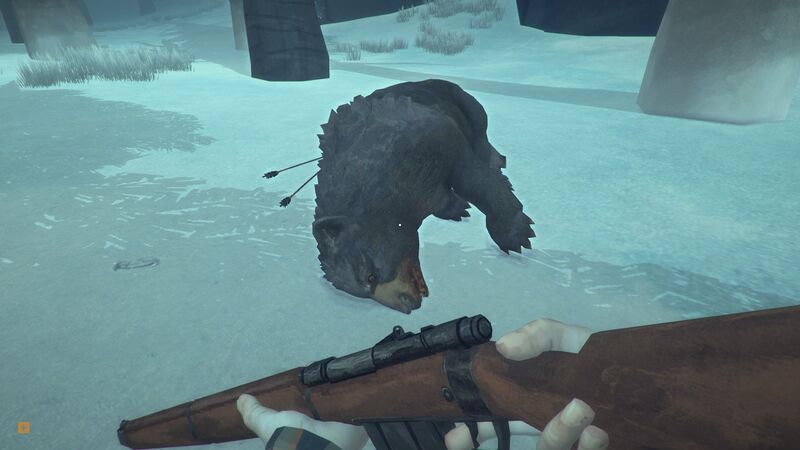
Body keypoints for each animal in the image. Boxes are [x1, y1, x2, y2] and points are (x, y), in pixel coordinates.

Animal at [312, 79, 535, 314]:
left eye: (371, 276)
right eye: (363, 293)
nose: (405, 305)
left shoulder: (433, 141)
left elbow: (475, 179)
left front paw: (518, 236)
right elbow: (441, 198)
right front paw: (456, 208)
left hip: (465, 104)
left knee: (481, 136)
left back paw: (497, 160)